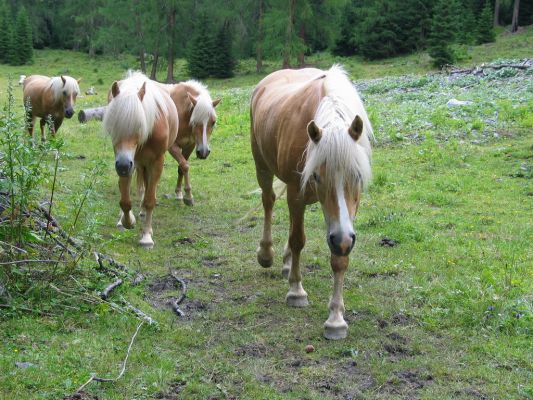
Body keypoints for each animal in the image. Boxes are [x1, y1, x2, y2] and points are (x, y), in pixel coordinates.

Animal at [102, 71, 179, 247]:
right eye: (114, 126)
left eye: (138, 126)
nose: (123, 166)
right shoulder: (126, 162)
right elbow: (125, 199)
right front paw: (127, 221)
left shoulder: (156, 162)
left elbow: (150, 199)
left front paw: (146, 237)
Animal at [250, 64, 372, 340]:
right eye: (316, 175)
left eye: (358, 176)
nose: (341, 239)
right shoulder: (297, 190)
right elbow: (298, 239)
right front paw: (296, 291)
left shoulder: (344, 222)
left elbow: (339, 258)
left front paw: (336, 319)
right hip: (262, 166)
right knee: (268, 201)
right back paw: (267, 253)